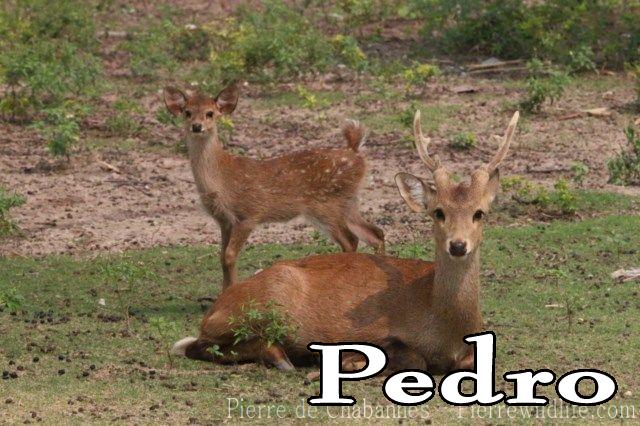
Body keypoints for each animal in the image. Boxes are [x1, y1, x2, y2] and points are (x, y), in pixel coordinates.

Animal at [163, 84, 385, 288]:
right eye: (187, 112)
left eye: (210, 113)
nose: (196, 126)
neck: (221, 179)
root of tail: (355, 153)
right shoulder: (224, 220)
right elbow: (222, 257)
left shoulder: (249, 214)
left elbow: (230, 255)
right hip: (347, 201)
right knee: (375, 233)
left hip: (325, 204)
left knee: (351, 240)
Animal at [171, 109, 520, 373]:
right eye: (438, 212)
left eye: (479, 213)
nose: (458, 246)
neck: (449, 331)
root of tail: (214, 309)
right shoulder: (375, 332)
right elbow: (410, 357)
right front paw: (349, 361)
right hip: (267, 301)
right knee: (199, 345)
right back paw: (284, 358)